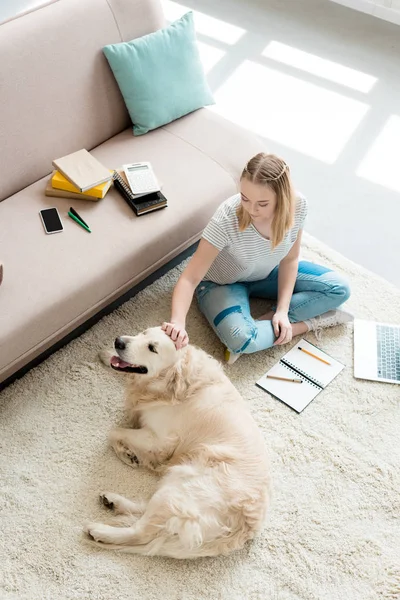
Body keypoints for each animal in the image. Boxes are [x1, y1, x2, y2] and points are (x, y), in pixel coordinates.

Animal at [85, 328, 272, 556]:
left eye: (152, 348)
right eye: (143, 333)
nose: (119, 341)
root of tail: (245, 529)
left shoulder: (160, 440)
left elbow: (113, 432)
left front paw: (127, 454)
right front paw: (106, 354)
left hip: (181, 489)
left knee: (142, 531)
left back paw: (100, 531)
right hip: (174, 480)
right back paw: (113, 502)